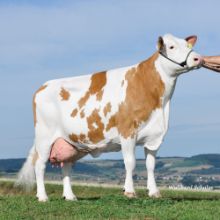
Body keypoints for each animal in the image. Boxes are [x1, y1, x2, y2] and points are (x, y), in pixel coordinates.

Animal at [16, 34, 204, 201]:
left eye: (188, 45)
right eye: (171, 46)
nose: (197, 58)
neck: (160, 103)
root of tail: (43, 86)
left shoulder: (155, 135)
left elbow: (150, 165)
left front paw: (154, 192)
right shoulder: (127, 131)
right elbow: (130, 162)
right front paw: (129, 191)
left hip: (71, 142)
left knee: (66, 167)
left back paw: (70, 196)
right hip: (44, 136)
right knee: (39, 165)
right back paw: (42, 196)